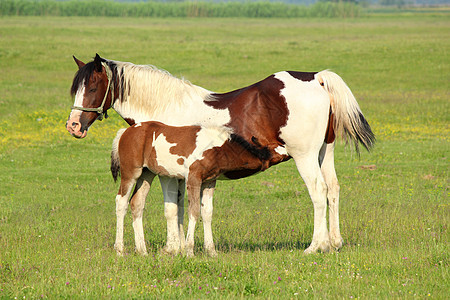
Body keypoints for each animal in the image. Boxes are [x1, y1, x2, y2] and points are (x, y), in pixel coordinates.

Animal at [110, 120, 284, 256]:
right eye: (278, 151)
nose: (289, 151)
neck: (217, 147)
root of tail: (125, 132)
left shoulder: (209, 182)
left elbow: (207, 213)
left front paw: (211, 251)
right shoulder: (193, 179)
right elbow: (194, 211)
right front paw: (189, 250)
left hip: (147, 174)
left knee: (137, 203)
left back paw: (142, 251)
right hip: (131, 173)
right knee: (121, 202)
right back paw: (119, 249)